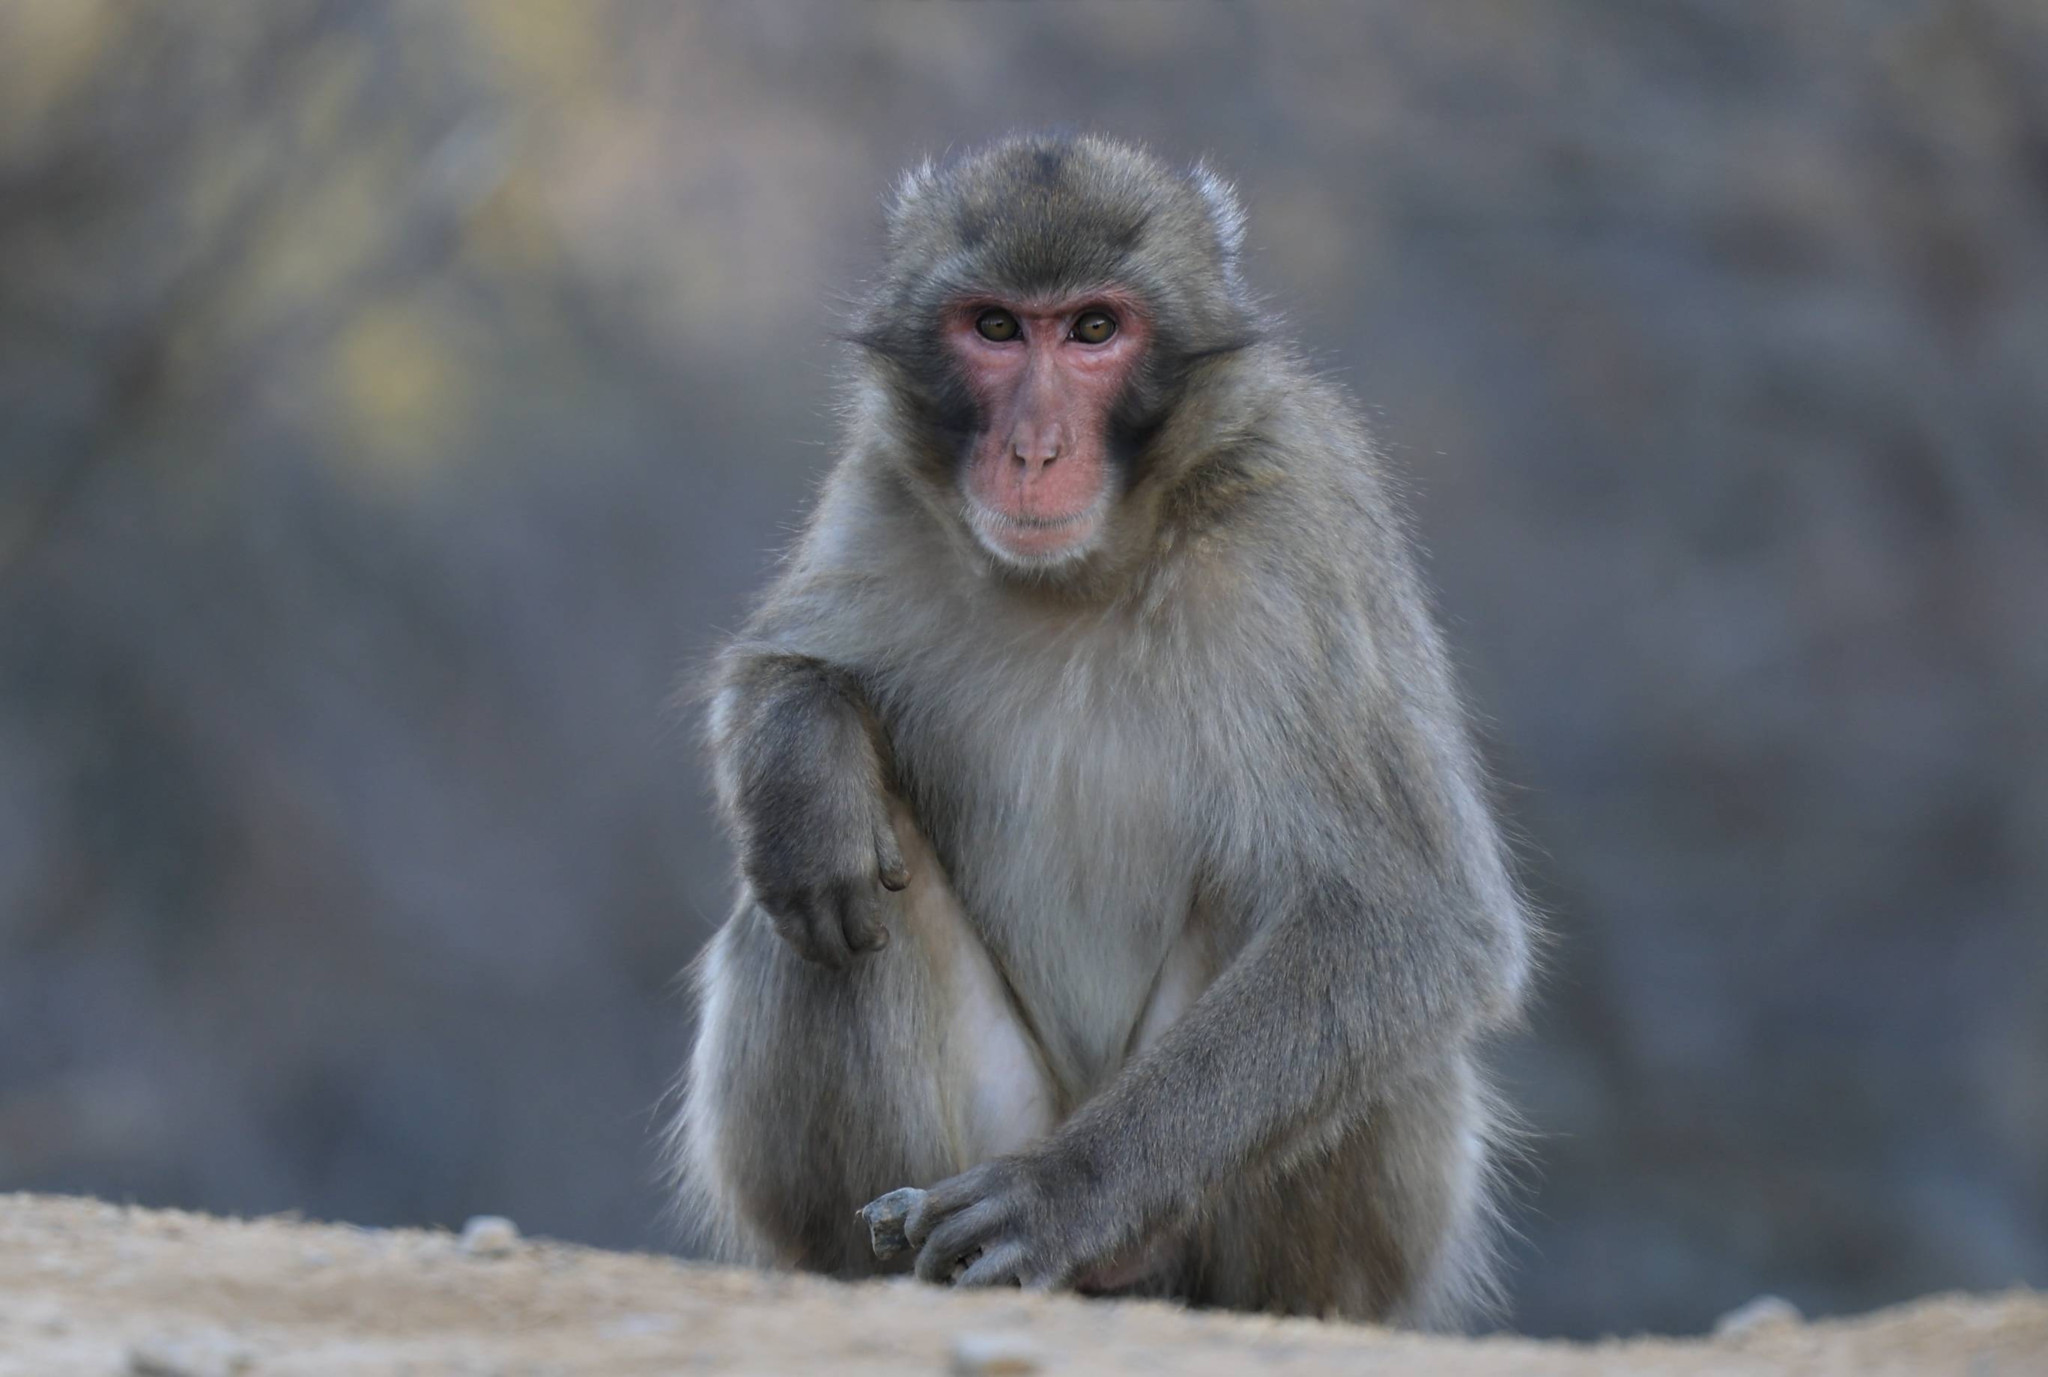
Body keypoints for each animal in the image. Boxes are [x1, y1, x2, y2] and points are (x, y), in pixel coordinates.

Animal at [670, 132, 1532, 1330]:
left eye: (1092, 330)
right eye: (995, 327)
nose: (1033, 450)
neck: (1087, 566)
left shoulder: (1298, 517)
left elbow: (1412, 917)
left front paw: (1057, 1194)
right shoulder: (880, 488)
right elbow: (777, 674)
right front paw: (804, 762)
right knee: (808, 903)